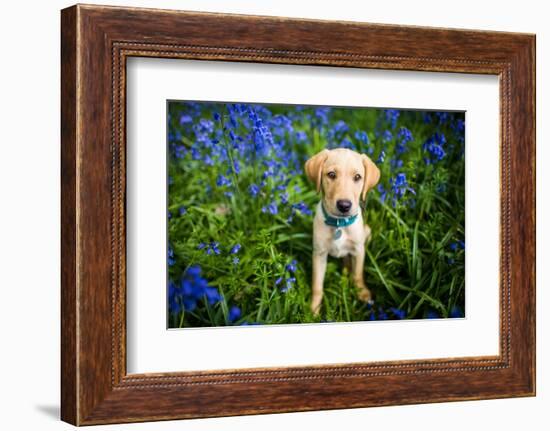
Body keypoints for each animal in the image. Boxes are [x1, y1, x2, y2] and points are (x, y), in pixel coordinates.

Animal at [304, 150, 382, 316]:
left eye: (357, 177)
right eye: (331, 174)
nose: (344, 205)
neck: (339, 224)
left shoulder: (359, 249)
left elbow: (358, 274)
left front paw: (362, 293)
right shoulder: (319, 254)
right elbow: (317, 284)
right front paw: (313, 309)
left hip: (367, 232)